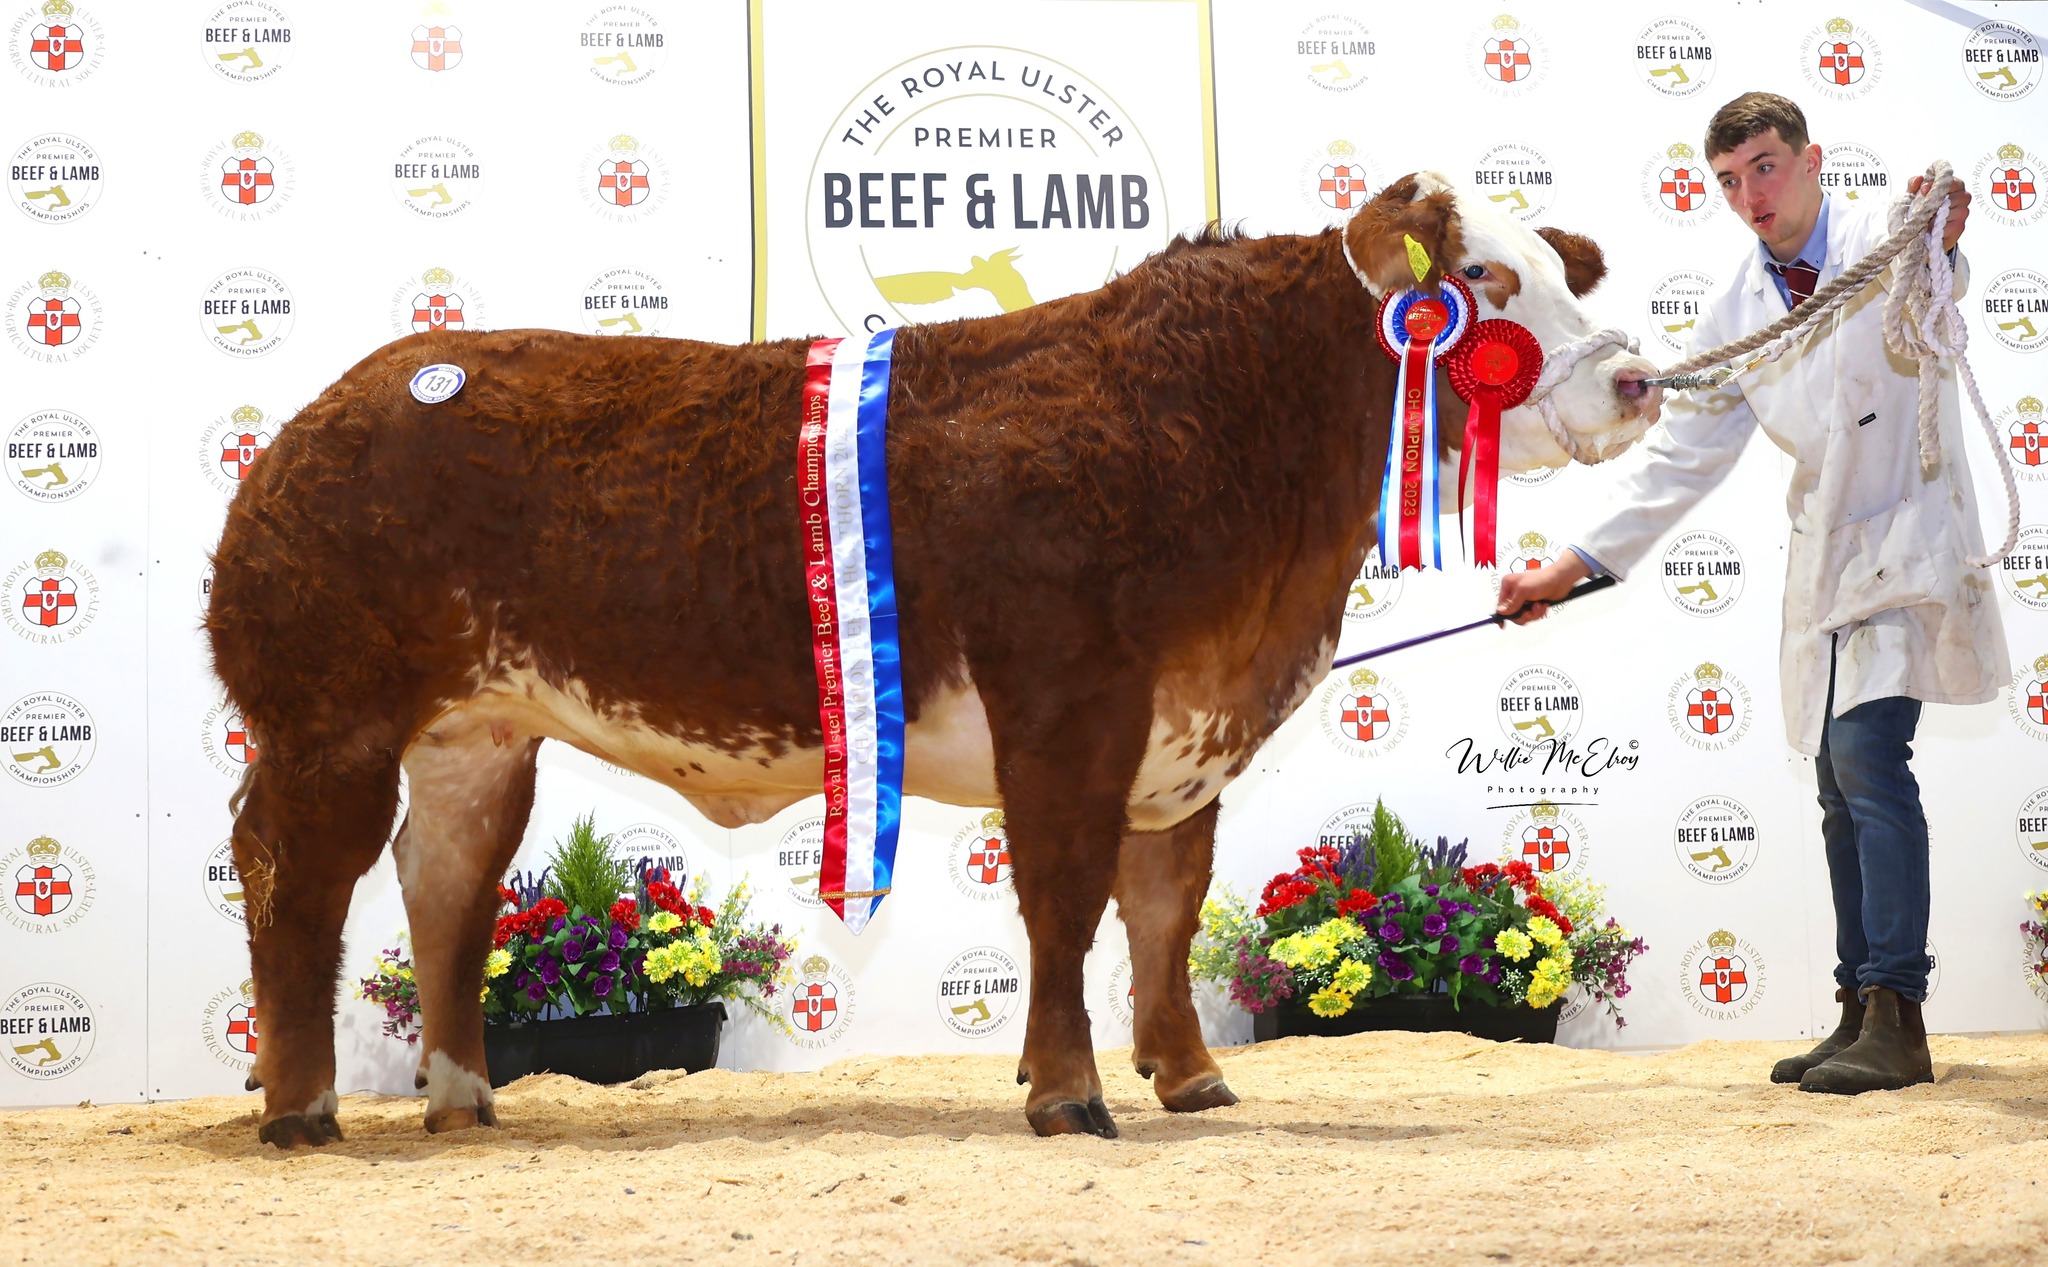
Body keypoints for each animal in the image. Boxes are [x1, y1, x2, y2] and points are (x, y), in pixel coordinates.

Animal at [206, 172, 1660, 1147]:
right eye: (1485, 286)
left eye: (1561, 273)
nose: (1639, 382)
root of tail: (321, 417)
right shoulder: (1069, 704)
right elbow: (1067, 902)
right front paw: (1068, 1091)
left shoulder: (1181, 737)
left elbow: (1163, 908)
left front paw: (1189, 1074)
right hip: (326, 716)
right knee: (295, 880)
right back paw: (302, 1105)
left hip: (477, 733)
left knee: (444, 883)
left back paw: (462, 1097)